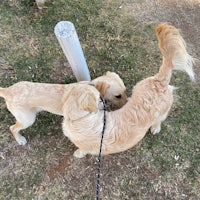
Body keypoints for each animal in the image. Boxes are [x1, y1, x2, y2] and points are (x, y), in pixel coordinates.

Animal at [61, 23, 195, 158]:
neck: (81, 118)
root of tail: (160, 81)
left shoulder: (85, 145)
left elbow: (82, 150)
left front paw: (78, 153)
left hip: (162, 112)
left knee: (159, 120)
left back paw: (155, 128)